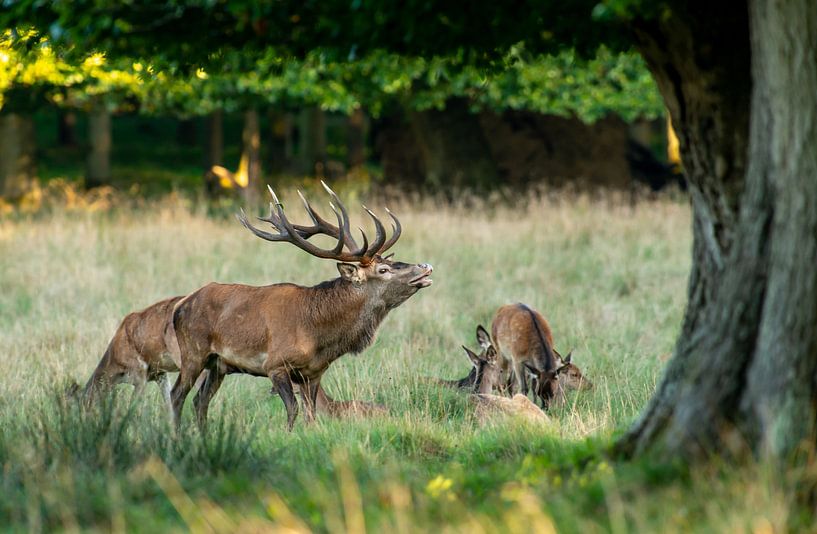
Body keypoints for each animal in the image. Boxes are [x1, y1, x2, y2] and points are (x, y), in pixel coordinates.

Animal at [170, 182, 433, 431]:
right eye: (384, 270)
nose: (426, 266)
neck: (318, 336)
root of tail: (181, 305)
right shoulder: (275, 364)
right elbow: (293, 409)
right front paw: (287, 436)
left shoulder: (313, 373)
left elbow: (311, 414)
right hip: (193, 351)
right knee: (177, 395)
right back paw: (177, 435)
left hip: (218, 365)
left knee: (200, 401)